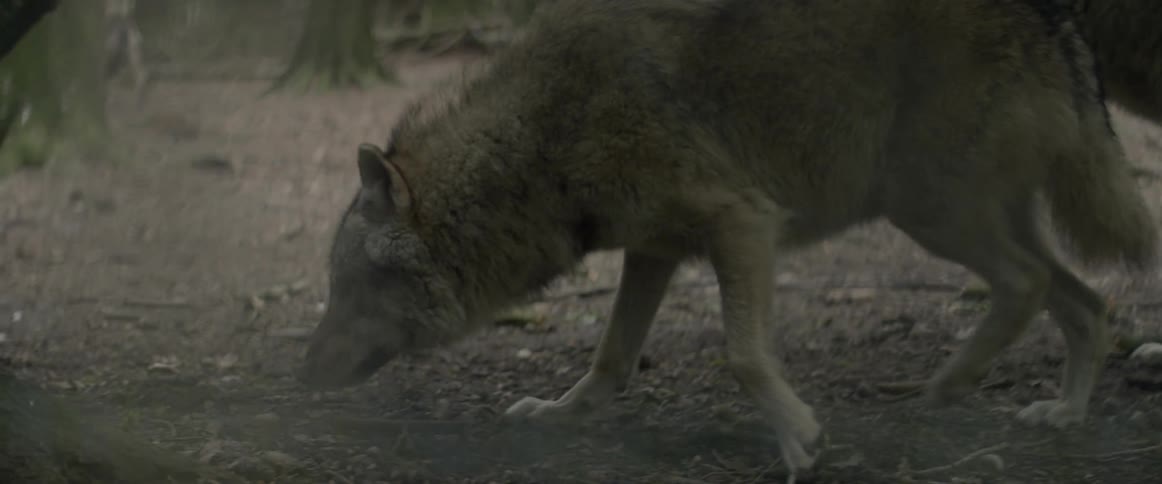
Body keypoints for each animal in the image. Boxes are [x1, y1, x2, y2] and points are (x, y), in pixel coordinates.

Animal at [298, 0, 1161, 474]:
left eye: (350, 285)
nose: (303, 370)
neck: (542, 142)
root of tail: (1054, 16)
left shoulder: (742, 222)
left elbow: (742, 355)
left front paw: (801, 439)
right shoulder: (654, 249)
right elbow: (611, 359)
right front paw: (559, 413)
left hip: (930, 210)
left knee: (1030, 285)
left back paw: (944, 391)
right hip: (959, 214)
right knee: (1085, 301)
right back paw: (1056, 413)